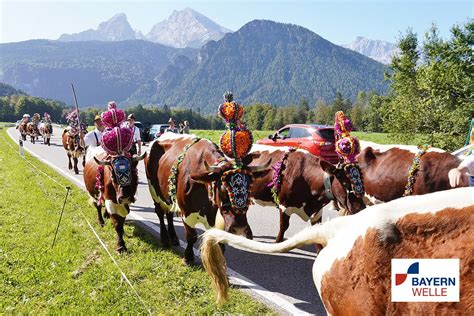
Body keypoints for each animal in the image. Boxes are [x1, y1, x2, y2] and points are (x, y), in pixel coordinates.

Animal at [144, 133, 270, 264]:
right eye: (224, 188)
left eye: (250, 188)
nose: (239, 228)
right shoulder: (186, 213)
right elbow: (191, 236)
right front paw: (188, 258)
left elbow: (219, 243)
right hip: (154, 191)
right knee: (160, 213)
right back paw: (164, 239)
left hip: (168, 196)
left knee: (169, 213)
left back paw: (173, 238)